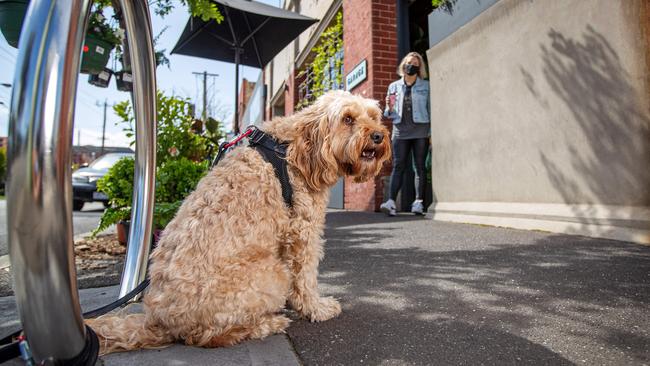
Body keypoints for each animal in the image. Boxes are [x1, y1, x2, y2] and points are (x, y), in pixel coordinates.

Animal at [86, 90, 390, 354]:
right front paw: (317, 309)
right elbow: (305, 279)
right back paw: (268, 323)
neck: (292, 149)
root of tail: (160, 321)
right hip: (272, 272)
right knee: (206, 336)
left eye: (374, 116)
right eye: (347, 119)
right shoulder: (303, 233)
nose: (378, 135)